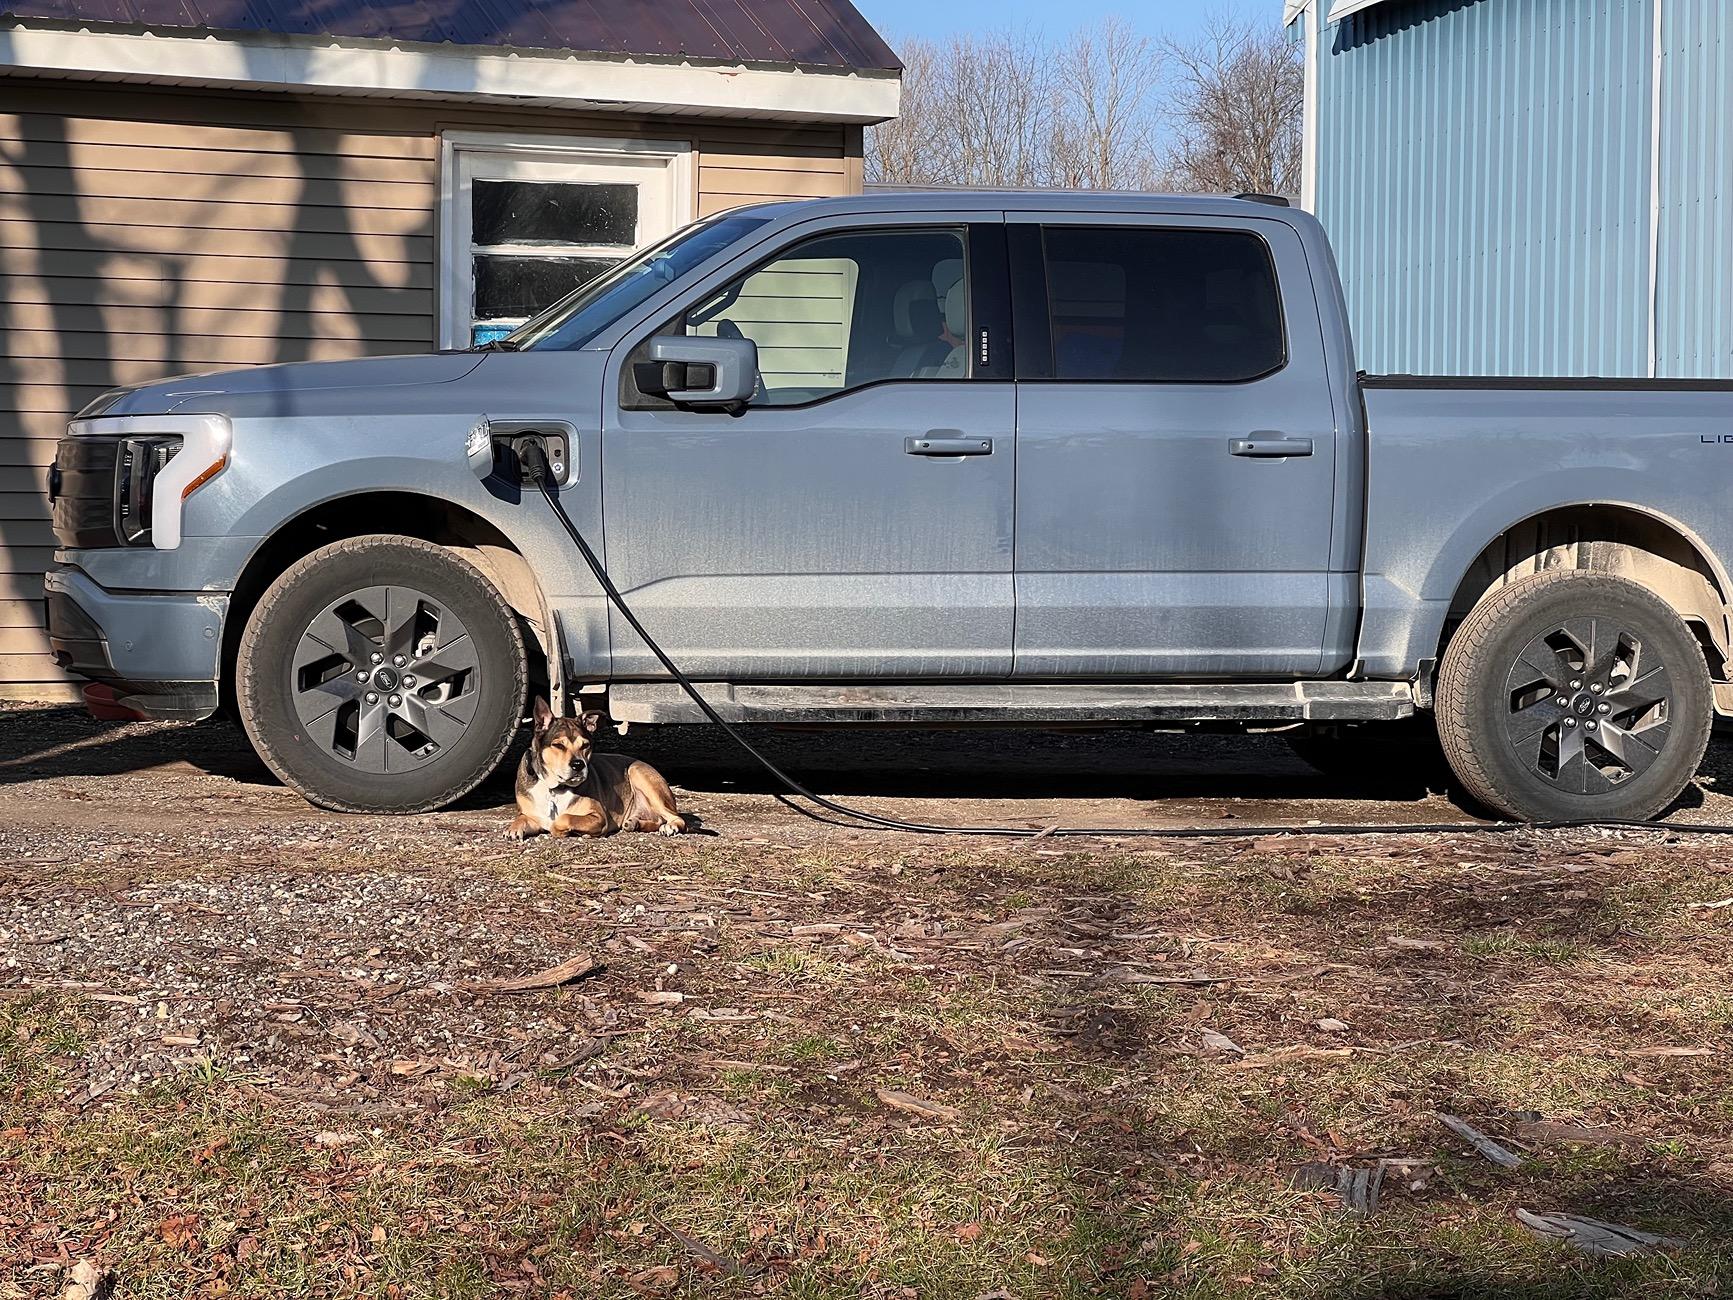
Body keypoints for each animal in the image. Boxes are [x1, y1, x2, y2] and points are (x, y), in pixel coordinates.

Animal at [506, 703, 686, 845]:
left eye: (585, 745)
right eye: (558, 745)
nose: (578, 764)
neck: (554, 788)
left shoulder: (598, 817)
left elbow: (563, 818)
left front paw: (565, 831)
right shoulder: (532, 816)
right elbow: (522, 818)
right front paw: (513, 829)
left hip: (637, 773)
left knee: (677, 818)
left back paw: (670, 826)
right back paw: (635, 823)